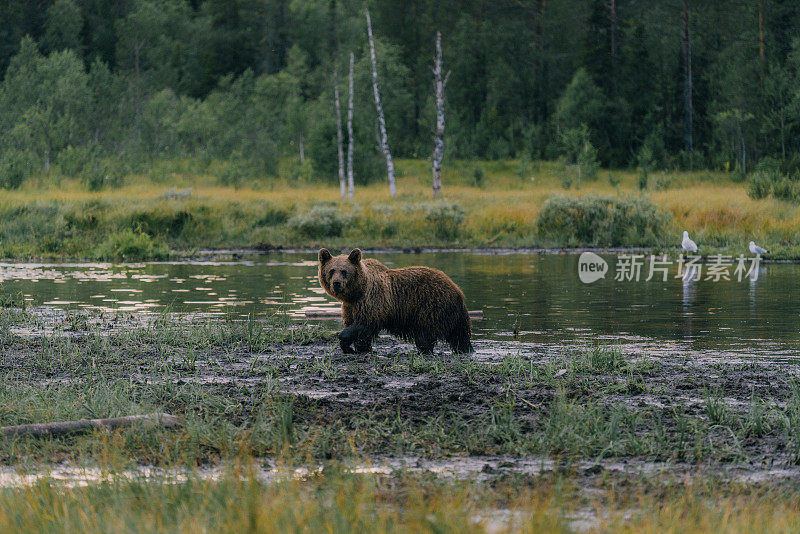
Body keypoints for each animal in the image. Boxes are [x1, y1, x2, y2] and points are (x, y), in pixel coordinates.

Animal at [318, 248, 472, 356]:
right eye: (331, 270)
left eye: (344, 271)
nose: (336, 283)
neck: (357, 292)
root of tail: (457, 290)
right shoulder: (351, 306)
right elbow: (357, 328)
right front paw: (357, 348)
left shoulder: (373, 301)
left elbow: (364, 324)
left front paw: (346, 340)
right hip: (452, 314)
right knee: (460, 335)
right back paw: (466, 349)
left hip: (431, 306)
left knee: (424, 335)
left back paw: (424, 351)